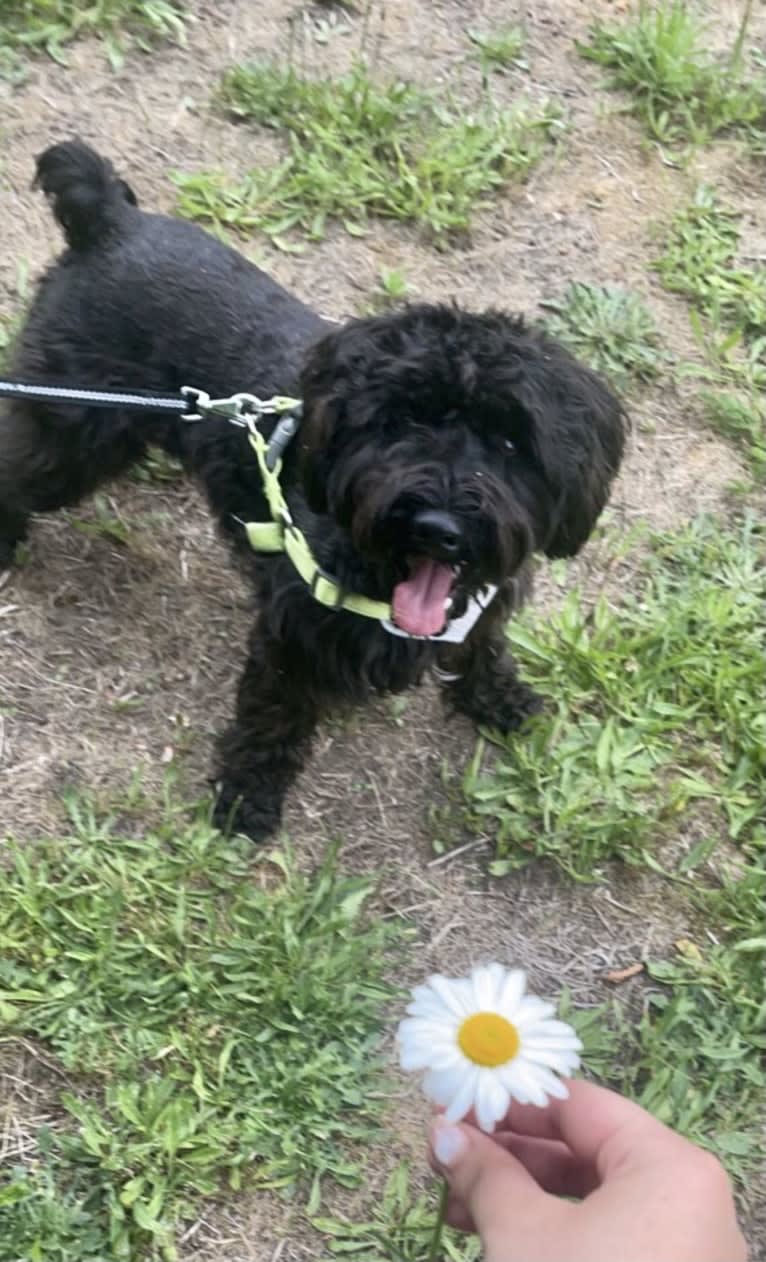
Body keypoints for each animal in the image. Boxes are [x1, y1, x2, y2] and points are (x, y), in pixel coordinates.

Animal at [0, 140, 625, 837]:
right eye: (401, 421)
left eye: (511, 444)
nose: (438, 528)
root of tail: (110, 219)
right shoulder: (290, 636)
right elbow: (273, 716)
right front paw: (248, 794)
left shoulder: (479, 608)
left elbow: (483, 649)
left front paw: (502, 699)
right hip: (70, 432)